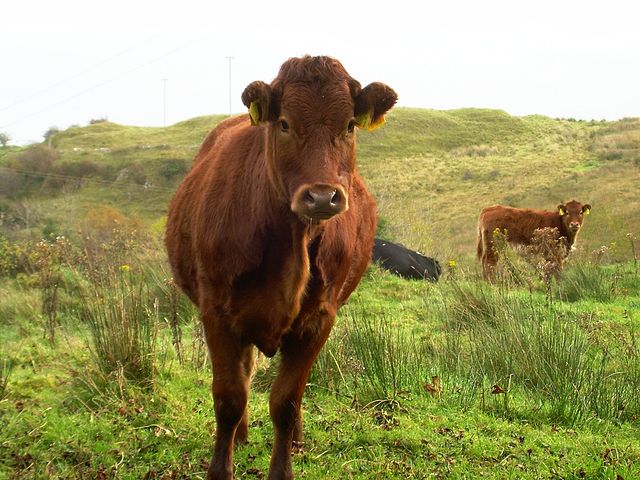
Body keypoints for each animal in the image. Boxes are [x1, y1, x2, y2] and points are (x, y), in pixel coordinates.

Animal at [165, 54, 396, 478]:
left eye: (349, 125)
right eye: (285, 123)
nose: (321, 196)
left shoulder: (320, 318)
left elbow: (286, 402)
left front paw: (283, 466)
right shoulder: (216, 310)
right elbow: (229, 397)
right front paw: (221, 467)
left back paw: (298, 441)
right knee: (244, 375)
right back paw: (240, 437)